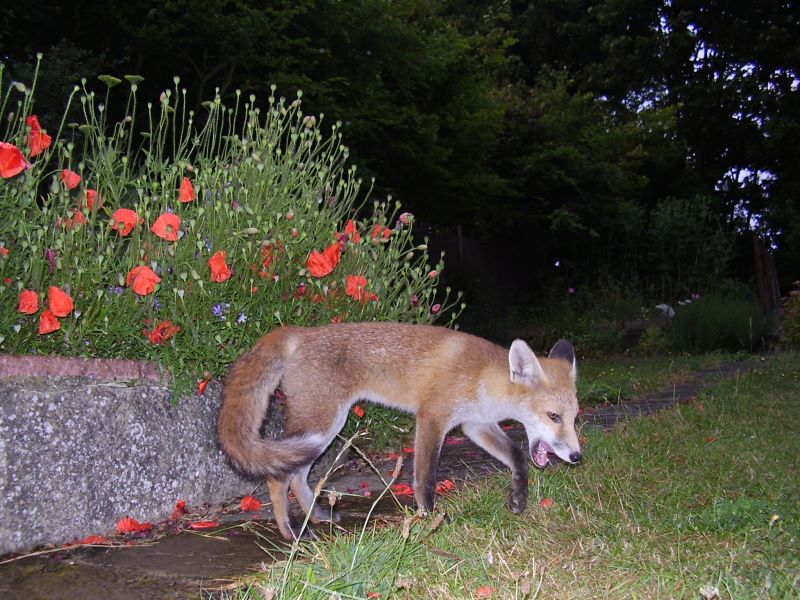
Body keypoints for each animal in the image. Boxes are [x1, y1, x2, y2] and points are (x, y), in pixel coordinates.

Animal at [218, 321, 582, 540]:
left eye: (574, 418)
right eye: (553, 416)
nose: (577, 456)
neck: (481, 378)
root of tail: (299, 332)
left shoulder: (475, 425)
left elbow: (518, 456)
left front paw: (519, 498)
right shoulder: (432, 418)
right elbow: (425, 478)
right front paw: (430, 520)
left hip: (322, 430)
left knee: (297, 476)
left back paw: (317, 516)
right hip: (320, 426)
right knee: (278, 476)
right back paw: (290, 532)